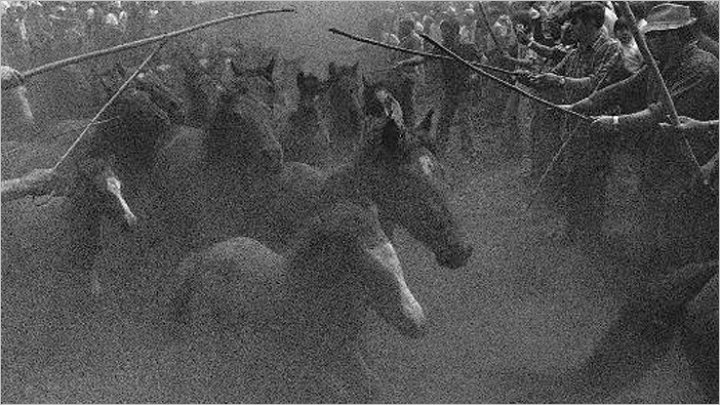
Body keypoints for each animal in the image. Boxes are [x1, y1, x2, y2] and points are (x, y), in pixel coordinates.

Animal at [171, 200, 424, 402]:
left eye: (398, 264)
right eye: (375, 272)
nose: (418, 322)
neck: (305, 298)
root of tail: (200, 259)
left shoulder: (344, 357)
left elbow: (371, 387)